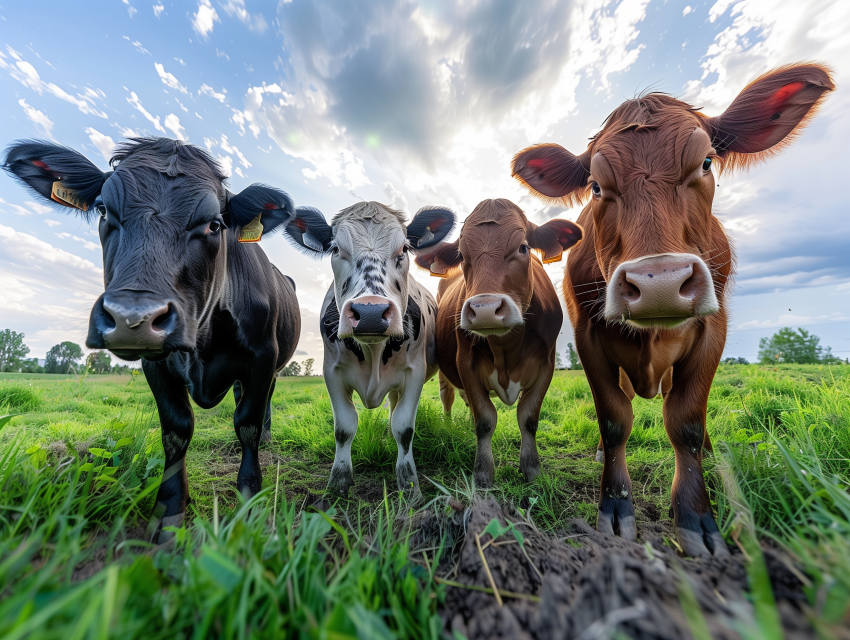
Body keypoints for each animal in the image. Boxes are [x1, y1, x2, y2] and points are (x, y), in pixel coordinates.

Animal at [3, 137, 307, 542]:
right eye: (103, 209)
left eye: (214, 224)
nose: (133, 317)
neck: (203, 341)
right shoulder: (156, 363)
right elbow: (176, 430)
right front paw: (170, 511)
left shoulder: (262, 357)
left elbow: (248, 424)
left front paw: (249, 498)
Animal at [283, 201, 456, 497]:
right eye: (335, 249)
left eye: (404, 249)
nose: (371, 313)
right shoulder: (331, 371)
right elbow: (344, 427)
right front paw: (338, 483)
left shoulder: (415, 372)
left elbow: (404, 427)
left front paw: (409, 484)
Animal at [413, 198, 583, 487]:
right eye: (461, 255)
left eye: (523, 247)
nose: (485, 310)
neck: (506, 348)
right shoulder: (465, 363)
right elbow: (484, 419)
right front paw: (483, 472)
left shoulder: (547, 365)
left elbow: (528, 417)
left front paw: (532, 469)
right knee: (448, 397)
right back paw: (448, 425)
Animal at [511, 63, 834, 557]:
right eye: (596, 186)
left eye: (706, 163)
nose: (658, 283)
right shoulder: (588, 335)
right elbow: (614, 419)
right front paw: (616, 508)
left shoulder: (713, 329)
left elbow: (686, 424)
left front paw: (697, 519)